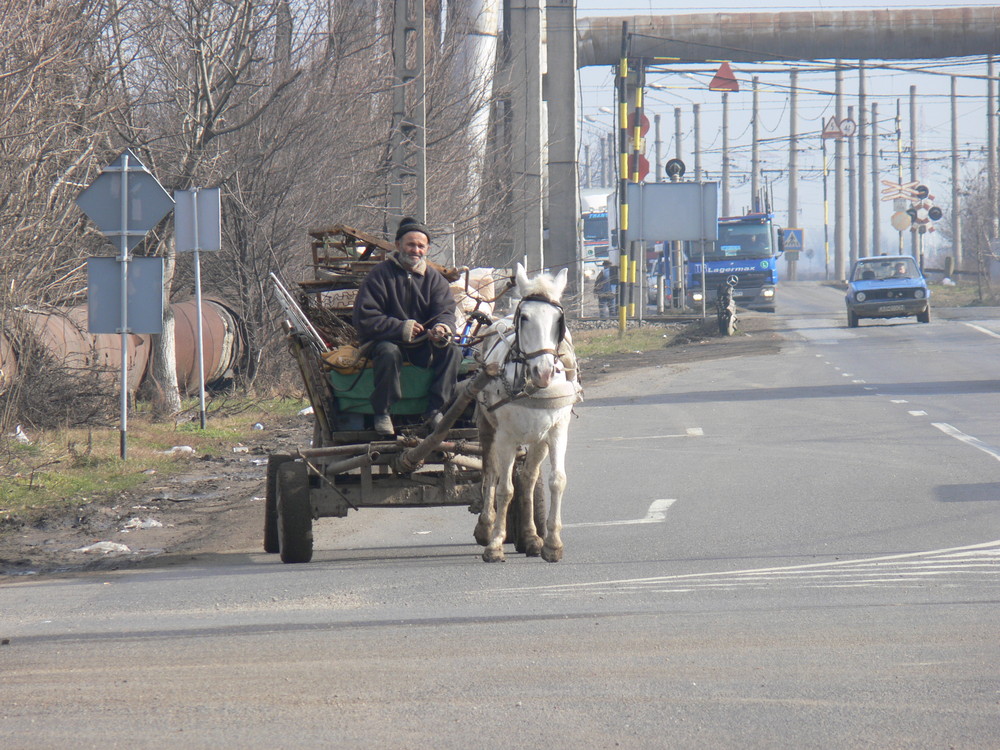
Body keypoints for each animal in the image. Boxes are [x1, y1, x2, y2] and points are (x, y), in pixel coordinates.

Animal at [474, 264, 584, 564]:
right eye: (524, 317)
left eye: (559, 319)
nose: (543, 372)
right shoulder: (506, 437)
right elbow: (504, 489)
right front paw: (495, 544)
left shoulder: (556, 431)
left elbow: (556, 480)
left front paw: (552, 544)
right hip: (487, 428)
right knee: (490, 473)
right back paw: (486, 526)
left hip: (537, 441)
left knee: (527, 479)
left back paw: (532, 537)